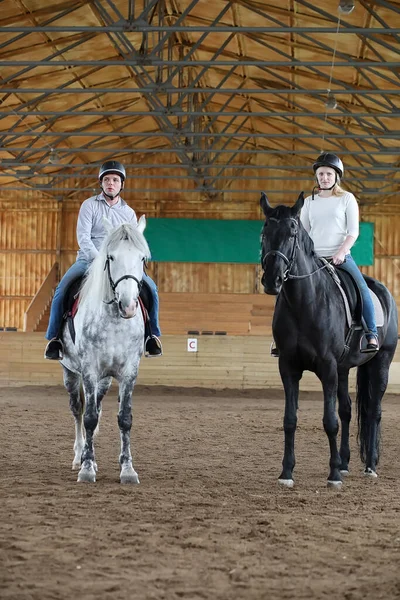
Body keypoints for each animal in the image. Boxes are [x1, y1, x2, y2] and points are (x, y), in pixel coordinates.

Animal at [61, 216, 150, 482]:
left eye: (142, 258)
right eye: (110, 257)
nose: (128, 306)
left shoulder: (129, 371)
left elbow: (124, 418)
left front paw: (128, 469)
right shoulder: (89, 369)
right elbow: (88, 418)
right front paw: (87, 468)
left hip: (105, 380)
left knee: (97, 407)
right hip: (70, 372)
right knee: (78, 410)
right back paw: (79, 456)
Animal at [260, 192, 396, 488]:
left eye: (292, 232)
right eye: (264, 232)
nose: (272, 281)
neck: (305, 302)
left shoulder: (328, 367)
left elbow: (330, 421)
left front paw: (332, 475)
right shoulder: (289, 367)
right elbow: (290, 419)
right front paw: (287, 472)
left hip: (381, 362)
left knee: (374, 411)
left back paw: (369, 466)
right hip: (344, 369)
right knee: (347, 411)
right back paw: (345, 463)